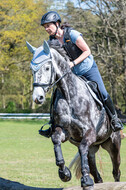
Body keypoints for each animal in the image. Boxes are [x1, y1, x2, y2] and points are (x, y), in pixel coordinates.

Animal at [26, 40, 121, 189]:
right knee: (96, 172)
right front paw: (64, 173)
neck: (68, 94)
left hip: (114, 144)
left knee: (116, 171)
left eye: (47, 68)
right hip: (93, 149)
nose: (38, 98)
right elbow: (56, 140)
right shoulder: (64, 131)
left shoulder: (90, 132)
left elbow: (82, 146)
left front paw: (85, 179)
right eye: (32, 69)